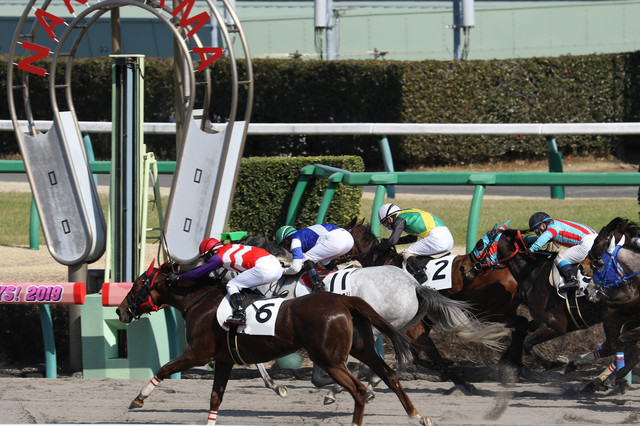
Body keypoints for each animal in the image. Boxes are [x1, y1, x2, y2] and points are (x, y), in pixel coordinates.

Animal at [117, 260, 432, 426]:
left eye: (138, 283)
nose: (121, 310)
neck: (201, 301)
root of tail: (343, 299)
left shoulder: (198, 353)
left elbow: (164, 368)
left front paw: (138, 399)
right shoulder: (224, 359)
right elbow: (216, 396)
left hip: (331, 359)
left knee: (359, 389)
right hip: (362, 348)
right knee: (389, 375)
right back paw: (417, 415)